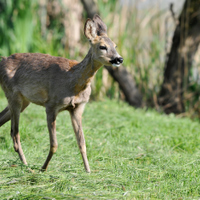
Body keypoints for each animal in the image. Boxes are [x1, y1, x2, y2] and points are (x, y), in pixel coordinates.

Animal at [0, 14, 122, 173]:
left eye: (115, 45)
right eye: (102, 47)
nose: (119, 59)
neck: (74, 83)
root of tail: (2, 61)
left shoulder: (77, 108)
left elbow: (82, 143)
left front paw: (88, 171)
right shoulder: (51, 105)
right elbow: (54, 144)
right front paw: (43, 169)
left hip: (23, 100)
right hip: (12, 94)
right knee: (14, 133)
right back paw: (26, 165)